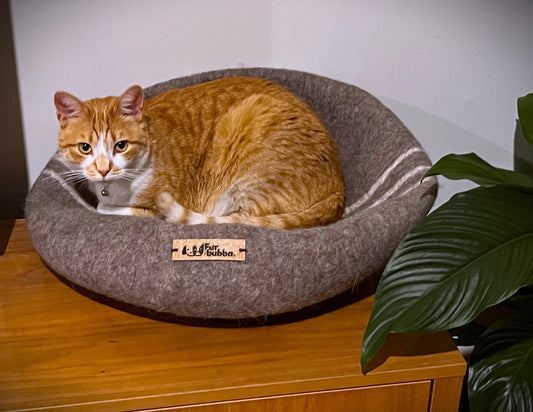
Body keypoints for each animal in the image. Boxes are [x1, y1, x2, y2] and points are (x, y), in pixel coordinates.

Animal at [55, 75, 344, 229]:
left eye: (121, 145)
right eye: (85, 148)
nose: (104, 169)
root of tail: (338, 189)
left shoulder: (150, 209)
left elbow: (104, 209)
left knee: (236, 219)